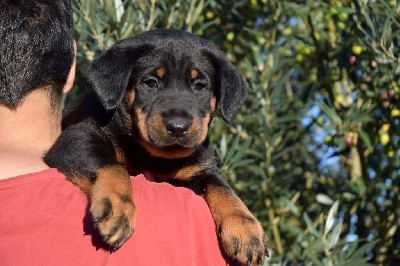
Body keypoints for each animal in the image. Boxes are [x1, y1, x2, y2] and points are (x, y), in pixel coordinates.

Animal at [44, 29, 268, 264]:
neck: (154, 157)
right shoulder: (77, 137)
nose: (178, 127)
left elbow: (223, 188)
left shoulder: (200, 170)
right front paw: (117, 206)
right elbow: (112, 166)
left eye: (200, 86)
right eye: (150, 83)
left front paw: (246, 227)